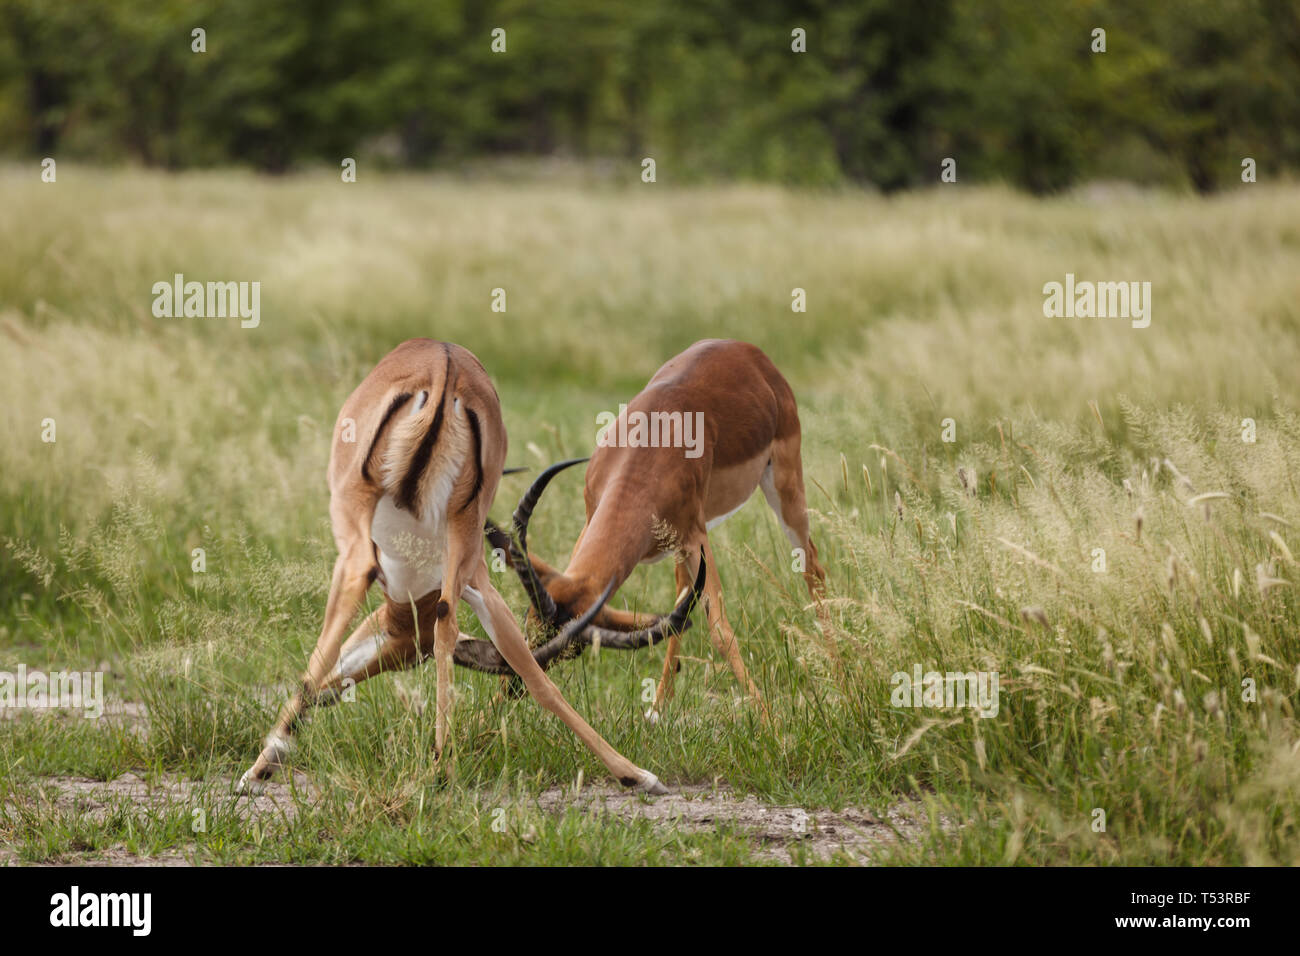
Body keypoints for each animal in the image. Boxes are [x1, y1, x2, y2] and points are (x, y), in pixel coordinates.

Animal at [237, 340, 696, 796]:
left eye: (410, 660)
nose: (326, 696)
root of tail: (444, 365)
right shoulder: (473, 578)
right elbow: (534, 674)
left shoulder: (468, 576)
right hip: (460, 530)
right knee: (444, 619)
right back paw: (439, 765)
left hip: (372, 525)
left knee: (366, 594)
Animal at [491, 335, 826, 717]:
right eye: (527, 620)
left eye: (573, 648)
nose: (514, 688)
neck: (645, 454)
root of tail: (746, 350)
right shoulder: (593, 519)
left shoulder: (697, 535)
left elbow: (720, 630)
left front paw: (769, 720)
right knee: (683, 598)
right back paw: (659, 705)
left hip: (784, 486)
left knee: (812, 565)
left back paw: (840, 670)